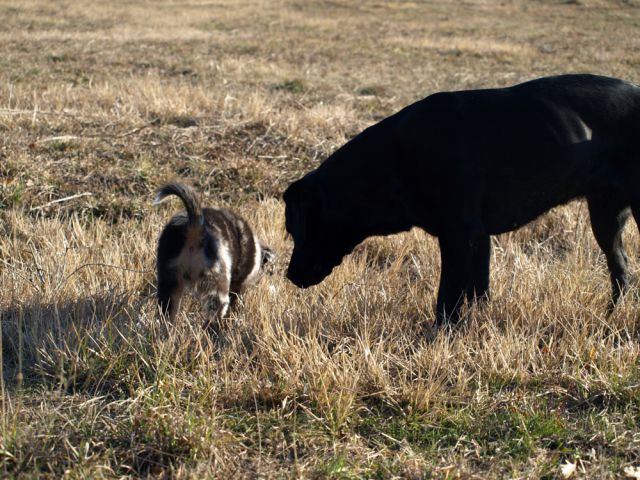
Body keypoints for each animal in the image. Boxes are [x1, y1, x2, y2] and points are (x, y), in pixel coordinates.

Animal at [158, 182, 276, 328]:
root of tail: (195, 227)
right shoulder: (236, 283)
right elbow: (234, 298)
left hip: (169, 276)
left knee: (167, 308)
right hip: (216, 276)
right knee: (216, 306)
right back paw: (213, 327)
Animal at [284, 73, 640, 324]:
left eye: (294, 230)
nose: (289, 275)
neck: (393, 159)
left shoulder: (458, 235)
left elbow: (447, 298)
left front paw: (439, 338)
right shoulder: (479, 239)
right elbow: (479, 291)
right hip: (605, 215)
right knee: (620, 268)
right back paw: (610, 317)